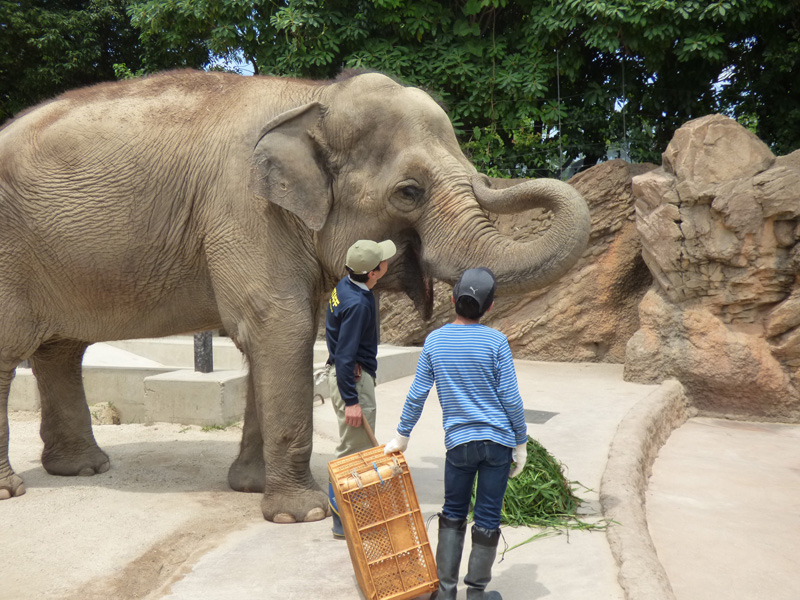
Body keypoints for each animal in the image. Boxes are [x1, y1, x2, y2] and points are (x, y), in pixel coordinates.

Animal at [0, 69, 588, 520]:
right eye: (408, 192)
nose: (492, 178)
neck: (312, 97)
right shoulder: (244, 210)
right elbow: (279, 328)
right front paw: (301, 515)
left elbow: (278, 338)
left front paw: (252, 486)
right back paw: (16, 490)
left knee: (59, 351)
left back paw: (82, 468)